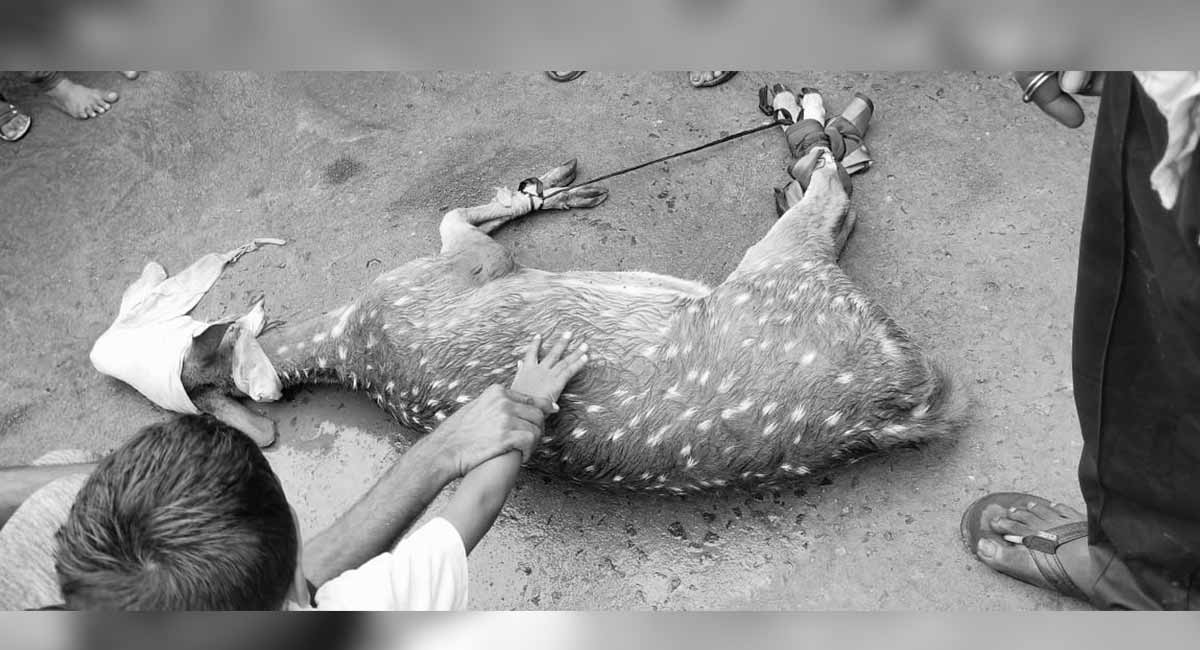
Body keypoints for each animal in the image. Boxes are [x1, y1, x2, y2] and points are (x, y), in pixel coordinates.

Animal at [162, 86, 968, 495]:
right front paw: (539, 190)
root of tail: (909, 403)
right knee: (828, 197)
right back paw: (811, 130)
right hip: (783, 273)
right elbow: (458, 217)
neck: (349, 342)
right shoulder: (461, 271)